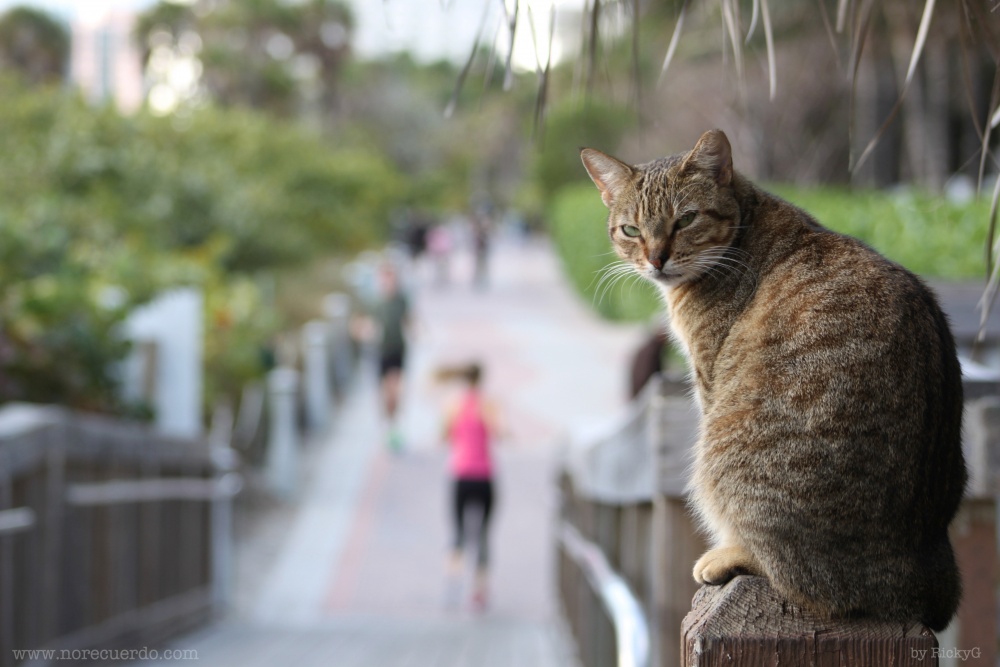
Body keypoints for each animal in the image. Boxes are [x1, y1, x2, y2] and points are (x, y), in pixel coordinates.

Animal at [584, 129, 964, 632]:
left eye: (685, 219)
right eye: (631, 230)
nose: (656, 259)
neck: (747, 223)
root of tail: (916, 577)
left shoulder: (710, 381)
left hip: (725, 448)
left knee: (797, 578)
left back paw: (729, 555)